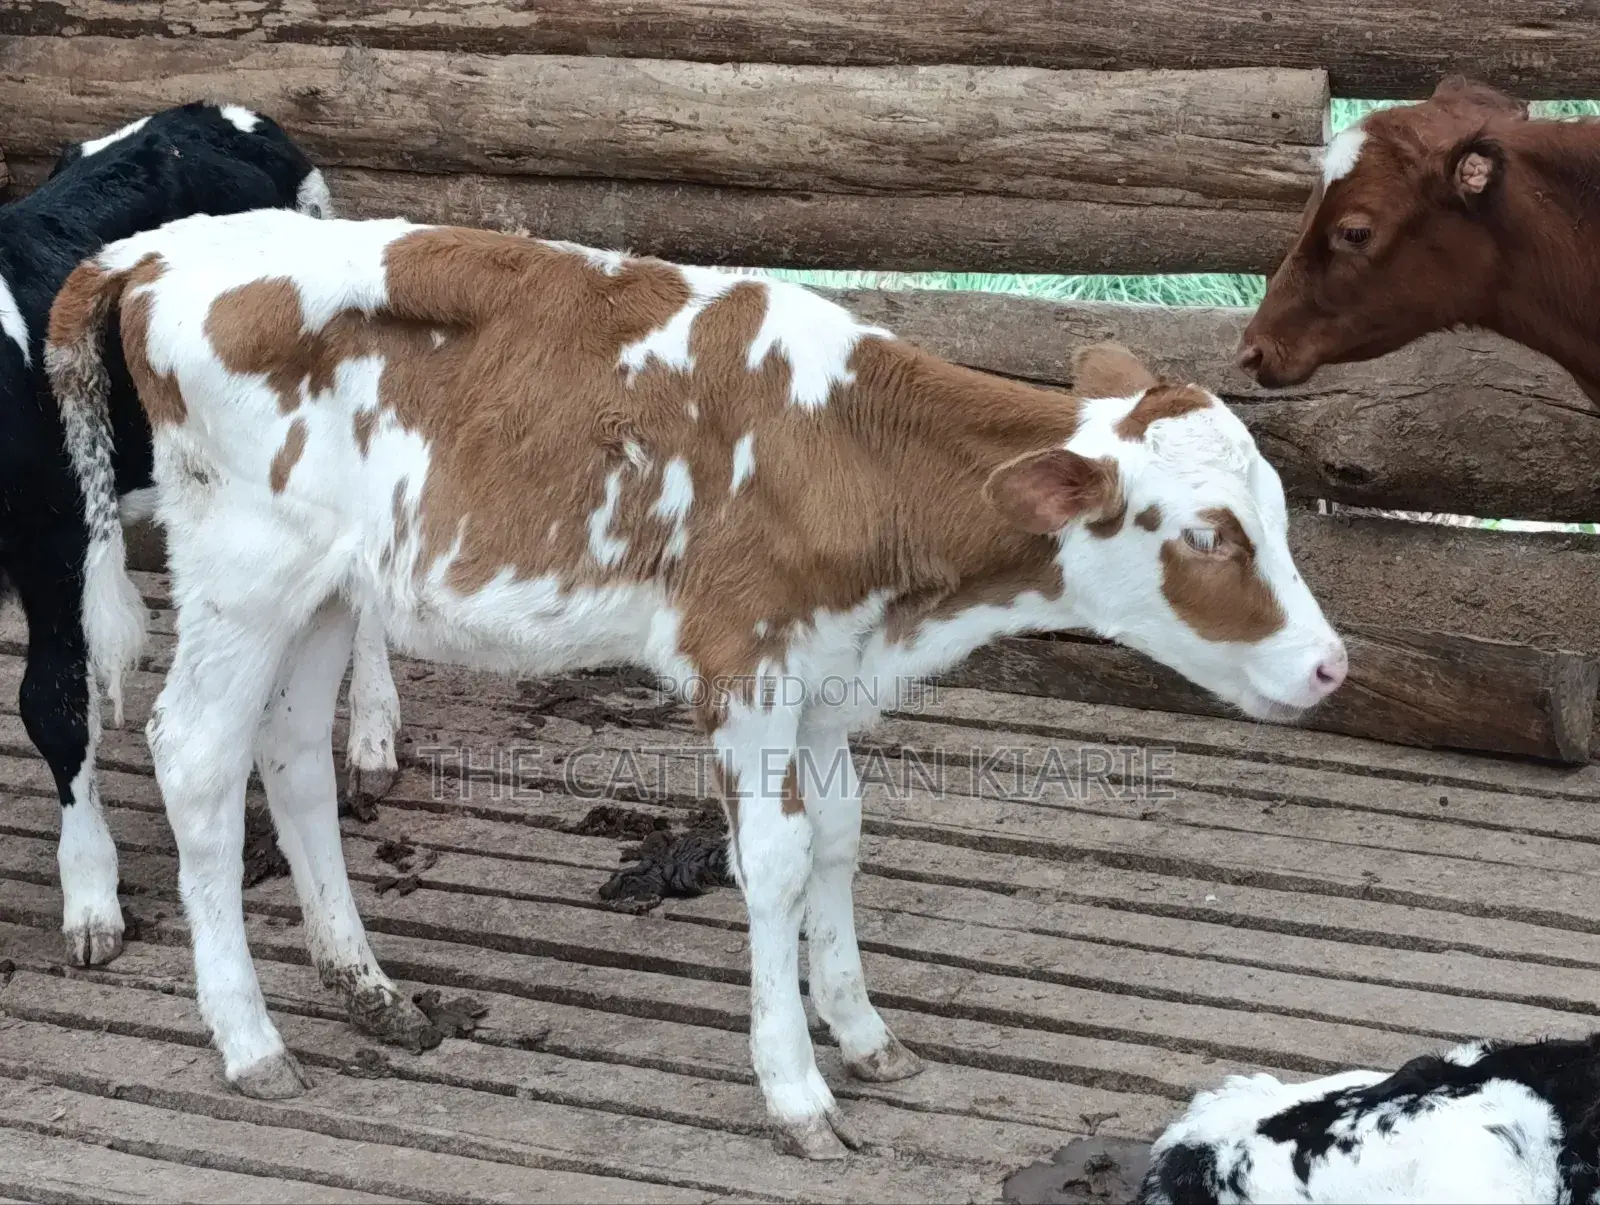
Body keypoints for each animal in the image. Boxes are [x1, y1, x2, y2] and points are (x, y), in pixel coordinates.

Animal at [45, 208, 1347, 1156]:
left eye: (1277, 514)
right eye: (1211, 535)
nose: (1330, 662)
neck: (848, 451)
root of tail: (160, 246)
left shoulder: (824, 669)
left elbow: (840, 835)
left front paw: (862, 1030)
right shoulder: (746, 657)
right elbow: (769, 860)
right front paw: (796, 1088)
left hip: (324, 584)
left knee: (291, 755)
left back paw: (366, 985)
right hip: (245, 567)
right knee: (195, 753)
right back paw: (249, 1037)